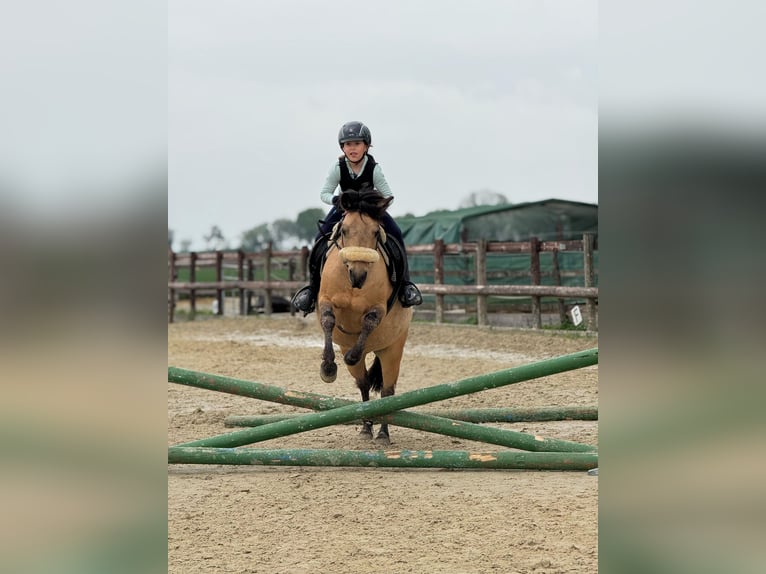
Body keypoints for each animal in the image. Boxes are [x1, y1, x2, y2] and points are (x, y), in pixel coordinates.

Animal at [316, 188, 413, 444]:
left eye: (374, 232)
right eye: (345, 230)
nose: (358, 275)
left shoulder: (379, 308)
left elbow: (369, 321)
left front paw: (350, 355)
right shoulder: (325, 300)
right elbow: (328, 320)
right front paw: (328, 367)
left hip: (392, 349)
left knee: (388, 391)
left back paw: (382, 434)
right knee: (364, 384)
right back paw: (367, 427)